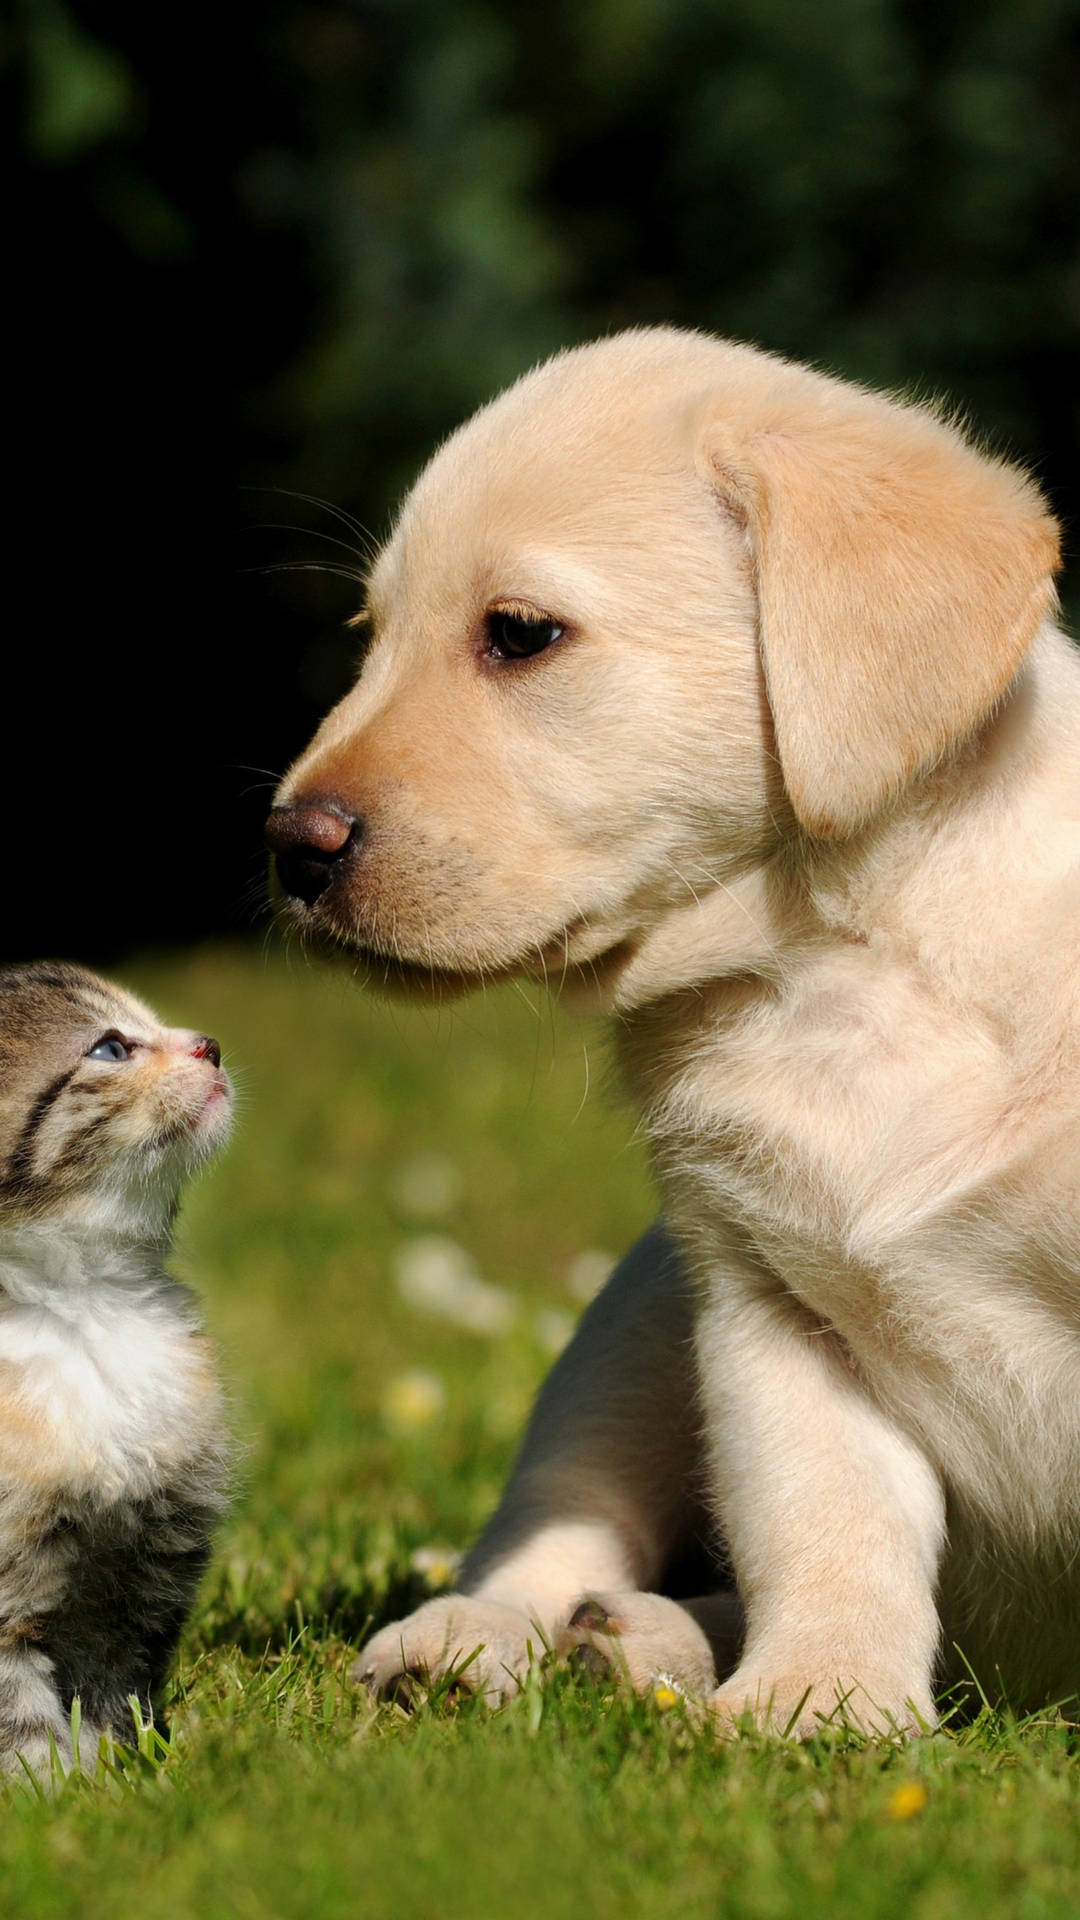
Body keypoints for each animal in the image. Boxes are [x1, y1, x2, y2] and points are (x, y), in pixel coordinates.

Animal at [0, 967, 226, 1774]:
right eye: (110, 1048)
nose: (211, 1043)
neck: (83, 1309)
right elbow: (16, 1707)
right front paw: (44, 1786)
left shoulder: (147, 1556)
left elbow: (112, 1683)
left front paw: (123, 1772)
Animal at [263, 330, 1076, 1743]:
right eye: (372, 637)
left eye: (519, 635)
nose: (289, 849)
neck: (838, 970)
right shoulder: (767, 1313)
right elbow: (827, 1527)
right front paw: (820, 1703)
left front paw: (810, 1706)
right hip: (634, 1321)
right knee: (551, 1525)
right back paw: (523, 1641)